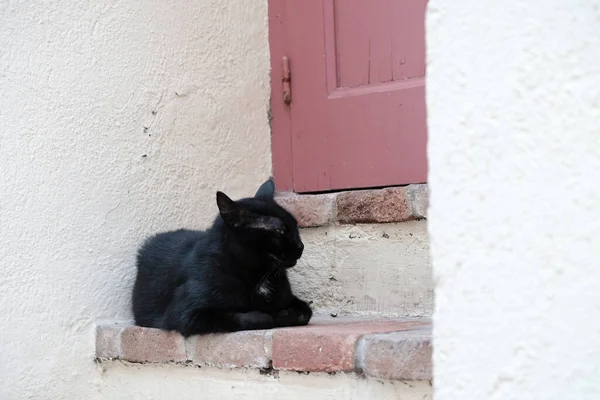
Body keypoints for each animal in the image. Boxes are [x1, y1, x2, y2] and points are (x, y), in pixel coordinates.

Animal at [132, 180, 314, 336]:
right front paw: (269, 315)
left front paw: (281, 313)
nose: (301, 246)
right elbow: (256, 317)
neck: (259, 274)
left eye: (295, 226)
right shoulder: (185, 314)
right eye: (280, 231)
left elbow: (304, 312)